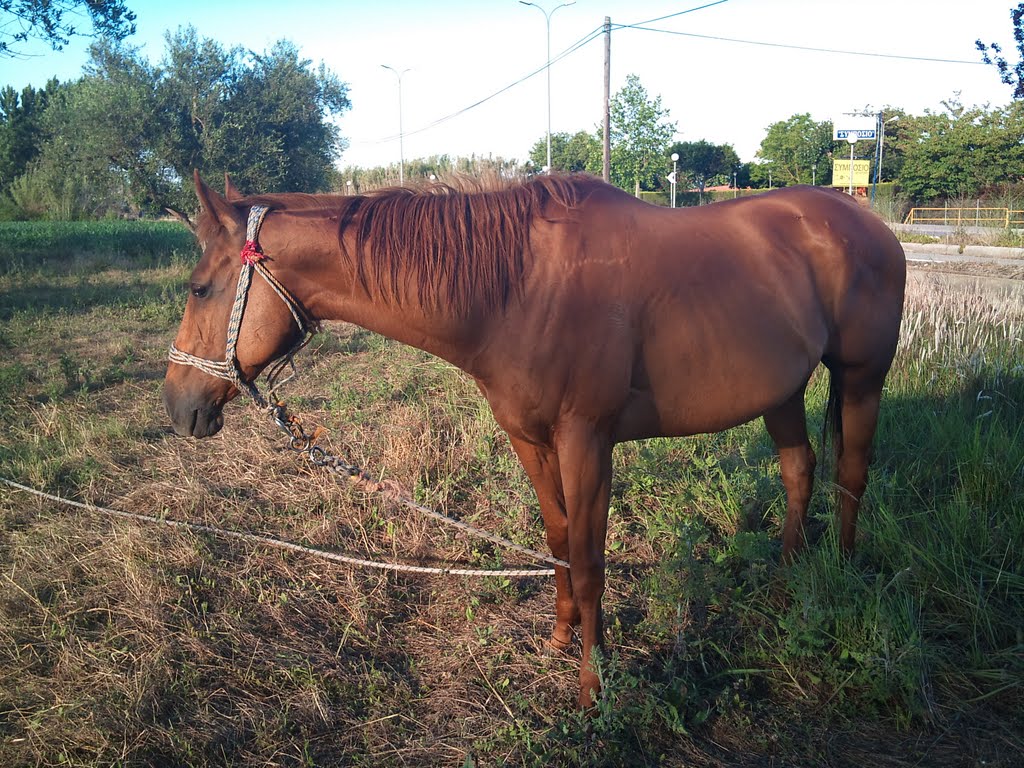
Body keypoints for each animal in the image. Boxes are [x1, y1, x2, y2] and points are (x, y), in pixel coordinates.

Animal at [165, 173, 905, 708]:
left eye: (200, 288)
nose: (178, 408)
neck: (515, 286)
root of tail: (869, 222)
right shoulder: (529, 439)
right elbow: (558, 541)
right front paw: (559, 637)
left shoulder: (588, 441)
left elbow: (591, 556)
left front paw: (593, 682)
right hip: (782, 390)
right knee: (799, 470)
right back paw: (784, 585)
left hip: (862, 377)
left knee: (851, 473)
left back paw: (839, 572)